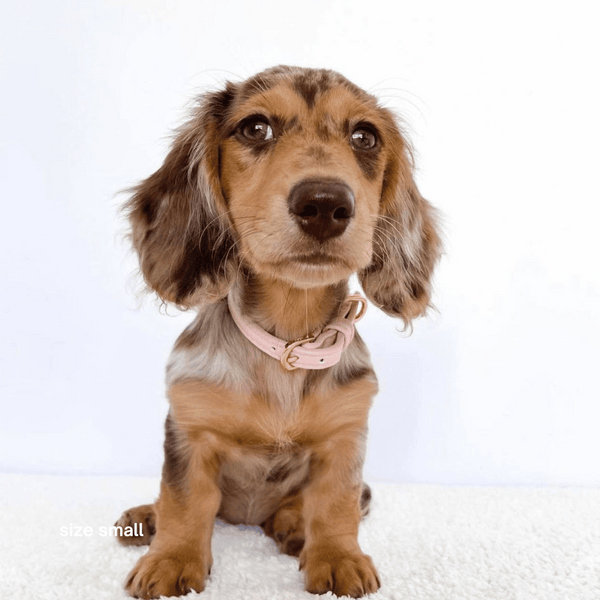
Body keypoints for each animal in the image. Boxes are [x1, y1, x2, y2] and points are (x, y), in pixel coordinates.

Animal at [116, 64, 440, 596]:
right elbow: (184, 499)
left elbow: (334, 503)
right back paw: (147, 517)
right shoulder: (190, 425)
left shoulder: (346, 435)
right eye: (255, 128)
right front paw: (171, 558)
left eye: (365, 137)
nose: (325, 203)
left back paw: (291, 526)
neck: (288, 341)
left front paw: (337, 556)